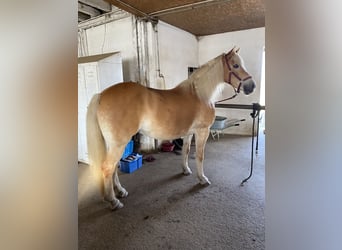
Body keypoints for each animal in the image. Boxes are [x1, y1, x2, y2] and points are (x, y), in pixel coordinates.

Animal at [87, 46, 255, 209]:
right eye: (235, 65)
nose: (251, 86)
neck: (200, 95)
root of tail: (101, 95)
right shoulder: (202, 131)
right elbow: (200, 156)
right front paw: (202, 179)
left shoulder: (189, 133)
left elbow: (186, 151)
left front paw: (186, 170)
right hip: (119, 143)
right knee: (108, 168)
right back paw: (114, 201)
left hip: (113, 144)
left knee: (114, 167)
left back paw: (121, 191)